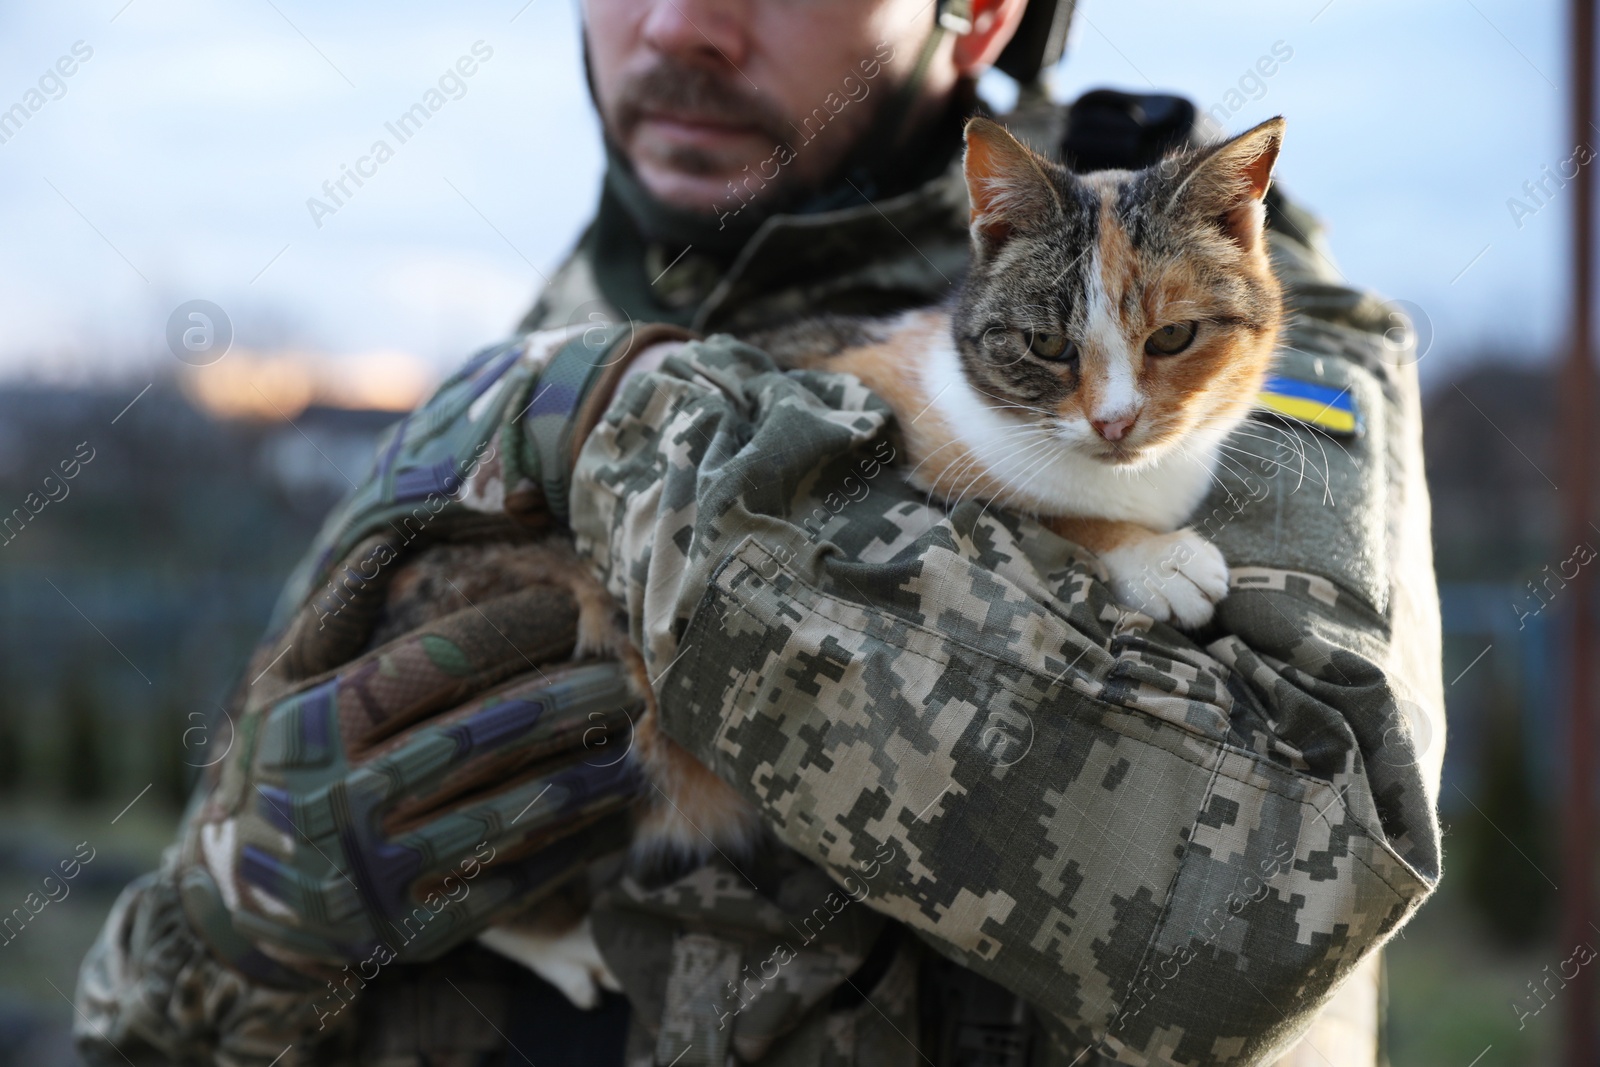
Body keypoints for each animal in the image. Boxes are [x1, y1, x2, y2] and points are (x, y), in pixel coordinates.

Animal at [371, 116, 1286, 1011]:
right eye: (1045, 344)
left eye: (1174, 335)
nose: (1115, 422)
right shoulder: (875, 436)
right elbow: (1036, 506)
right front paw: (1158, 558)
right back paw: (562, 945)